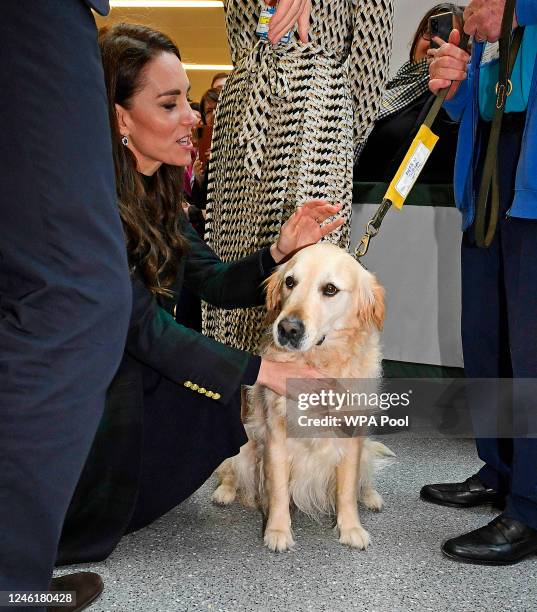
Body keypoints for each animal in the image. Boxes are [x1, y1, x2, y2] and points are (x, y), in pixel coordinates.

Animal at [211, 243, 392, 548]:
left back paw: (370, 497)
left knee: (363, 478)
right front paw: (277, 531)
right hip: (246, 438)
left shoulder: (351, 437)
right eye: (290, 282)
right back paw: (224, 492)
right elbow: (279, 490)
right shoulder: (276, 436)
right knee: (231, 471)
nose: (288, 329)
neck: (319, 360)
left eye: (330, 289)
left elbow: (346, 488)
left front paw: (351, 528)